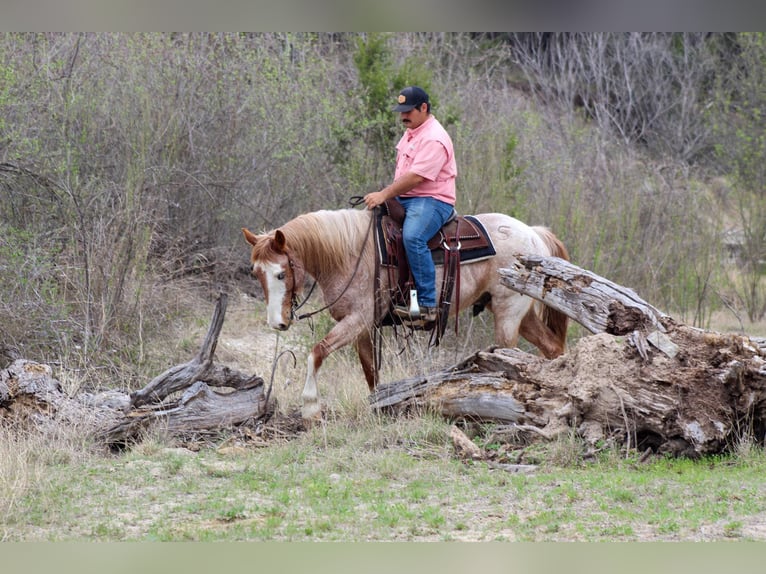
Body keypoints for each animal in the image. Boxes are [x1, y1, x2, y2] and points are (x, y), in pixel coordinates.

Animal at [243, 208, 570, 419]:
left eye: (281, 273)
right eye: (256, 273)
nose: (277, 323)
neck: (348, 253)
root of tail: (534, 233)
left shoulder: (357, 320)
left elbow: (317, 352)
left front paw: (310, 408)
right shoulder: (363, 327)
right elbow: (370, 371)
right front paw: (378, 406)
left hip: (508, 313)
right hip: (521, 314)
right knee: (553, 347)